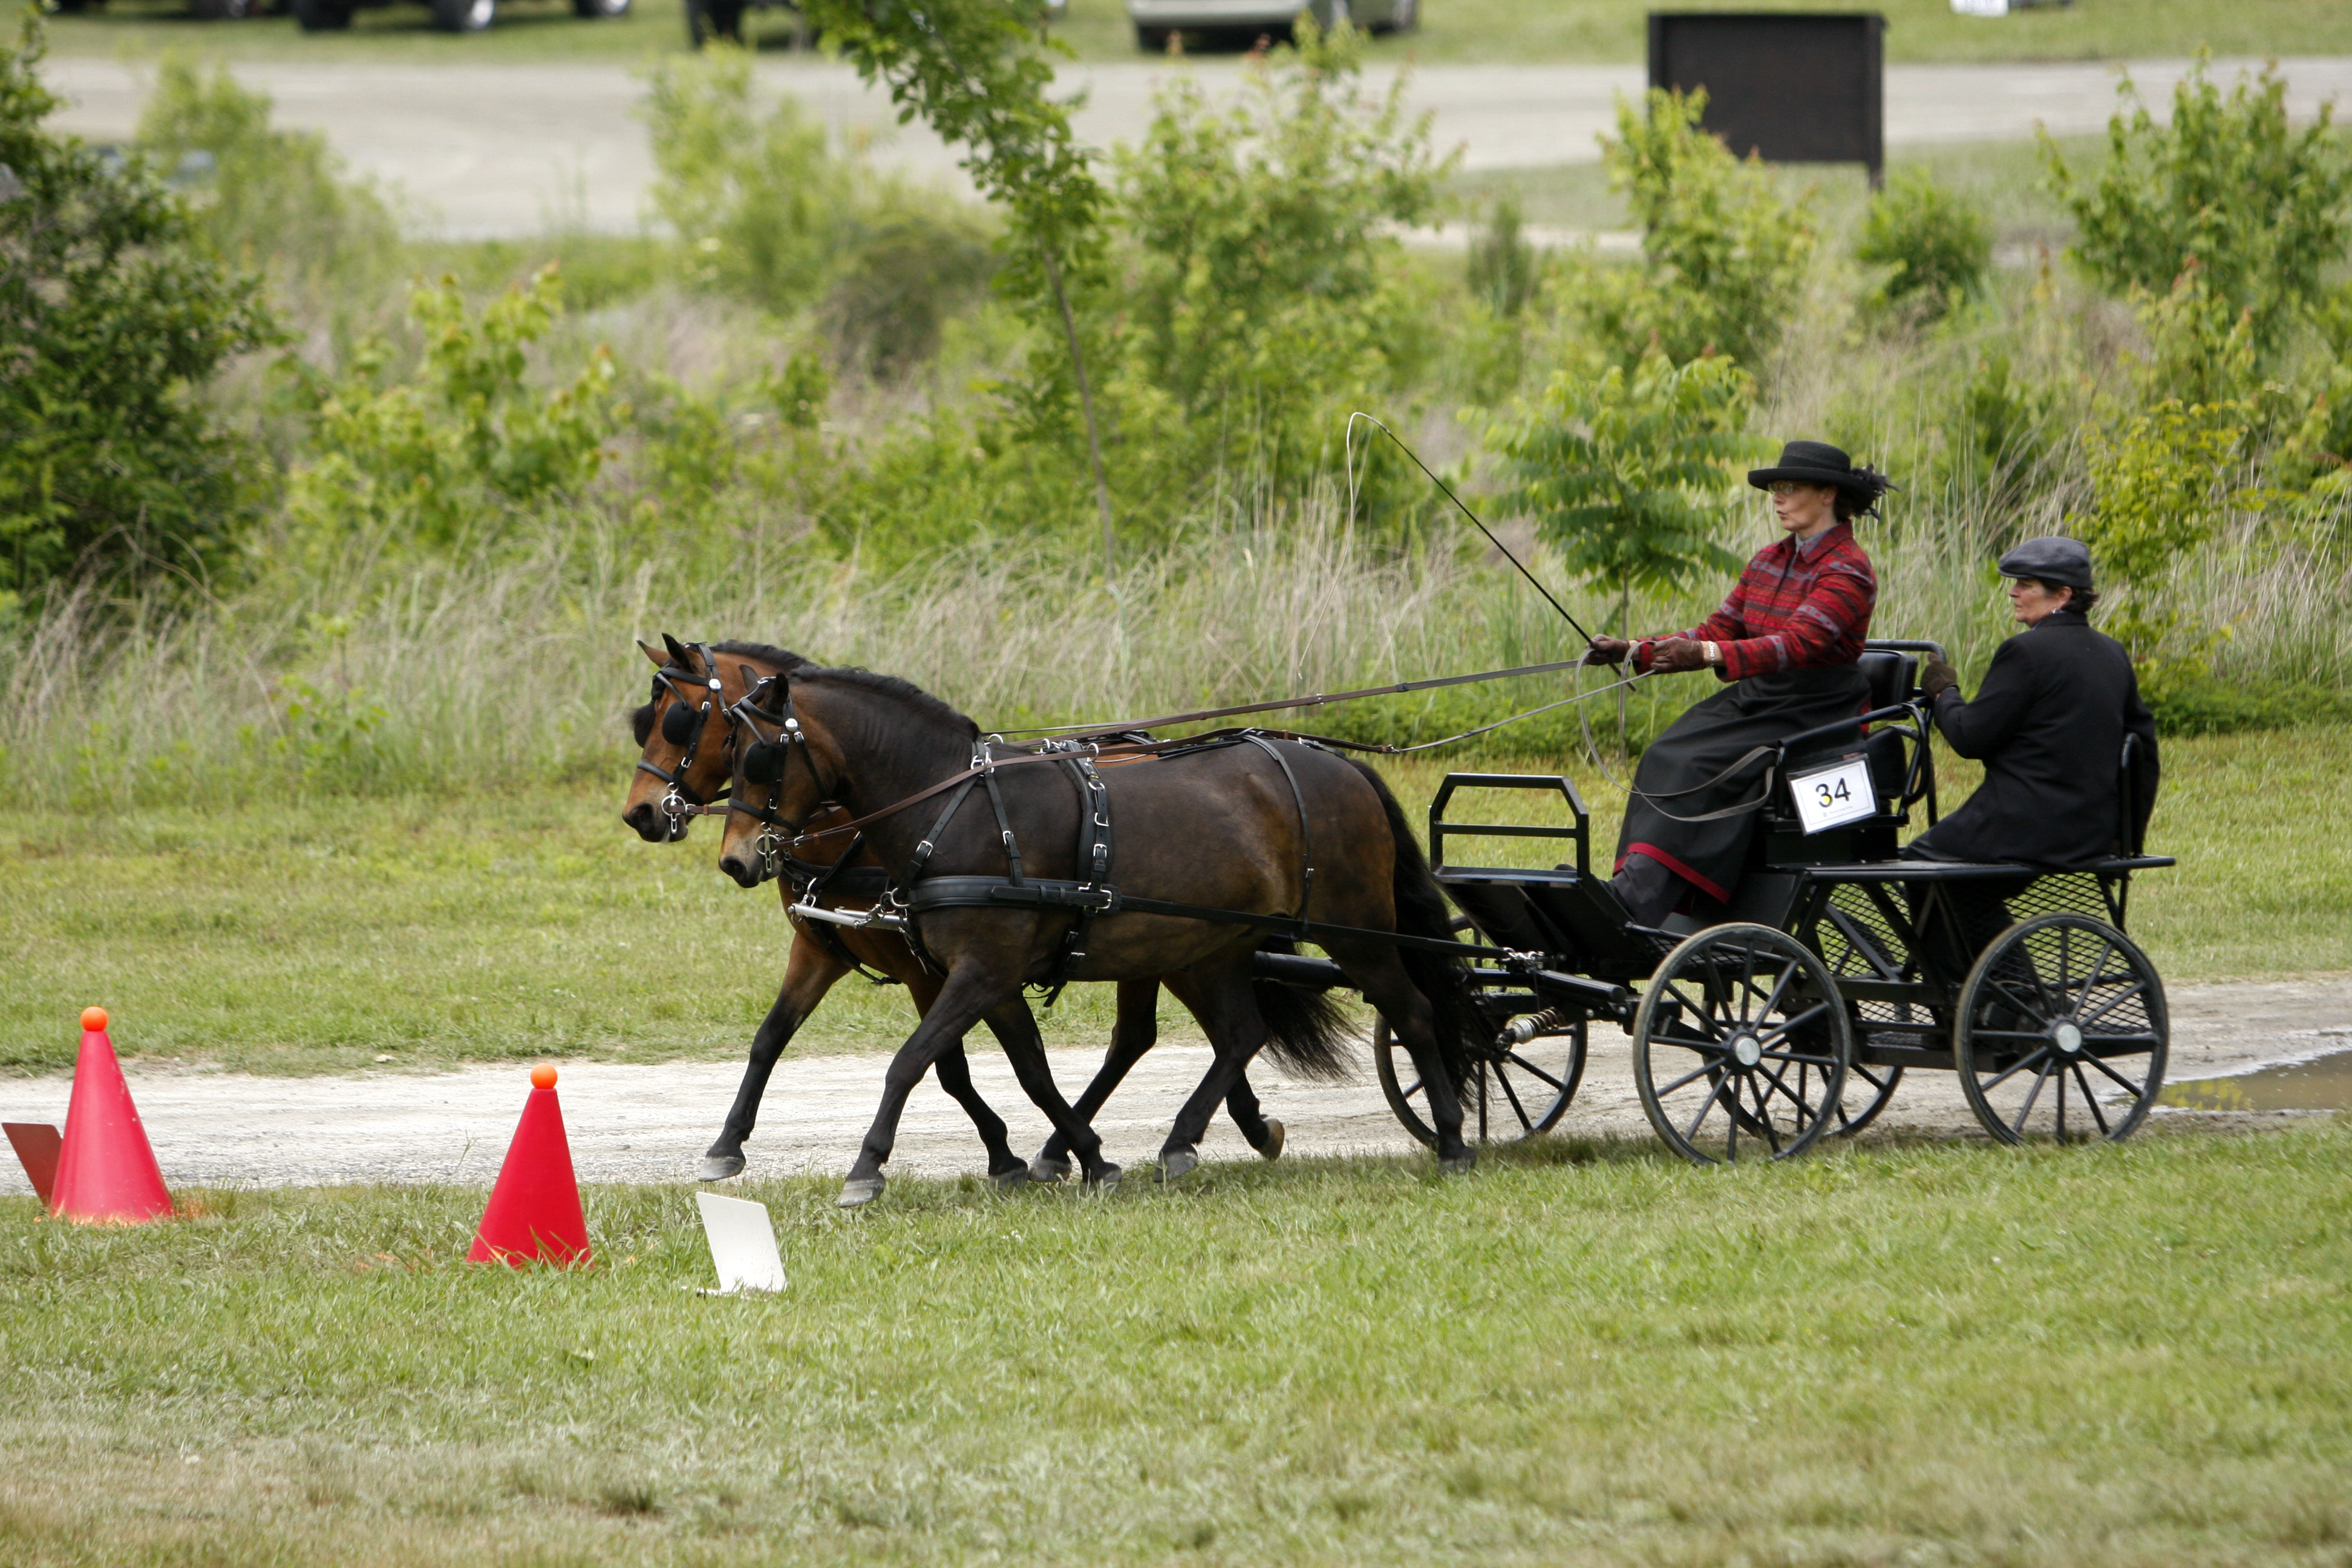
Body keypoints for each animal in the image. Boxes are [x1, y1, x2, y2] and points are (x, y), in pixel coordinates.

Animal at [705, 648, 1477, 1203]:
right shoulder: (987, 975)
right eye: (727, 751)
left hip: (1356, 928)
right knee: (1239, 1033)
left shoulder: (980, 970)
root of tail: (1336, 764)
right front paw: (1088, 1157)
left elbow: (912, 1061)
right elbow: (1030, 1069)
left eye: (761, 756)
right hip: (1214, 946)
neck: (955, 808)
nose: (736, 860)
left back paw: (1453, 1141)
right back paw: (1182, 1142)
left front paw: (867, 1167)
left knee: (1411, 1011)